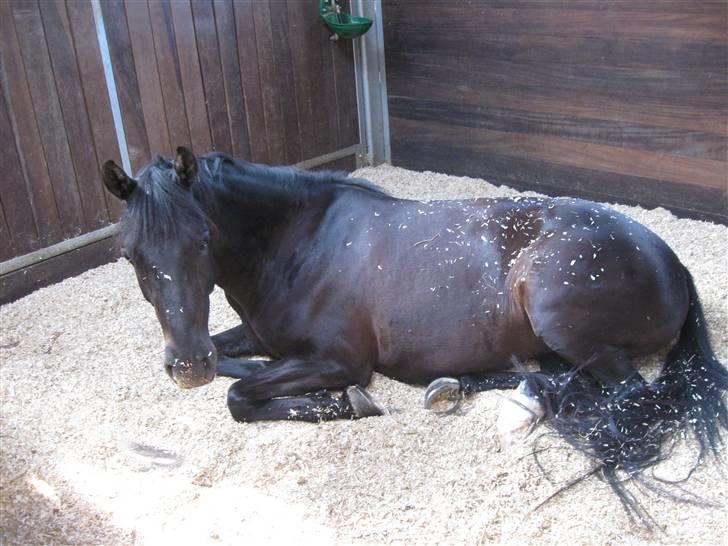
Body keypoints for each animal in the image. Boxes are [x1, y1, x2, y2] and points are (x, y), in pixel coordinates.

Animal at [102, 148, 727, 521]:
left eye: (202, 240)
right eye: (129, 254)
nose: (188, 366)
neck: (300, 240)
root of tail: (671, 261)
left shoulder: (338, 360)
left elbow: (239, 395)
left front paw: (345, 404)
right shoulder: (255, 340)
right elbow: (236, 367)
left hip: (566, 325)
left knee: (623, 397)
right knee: (562, 382)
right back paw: (461, 387)